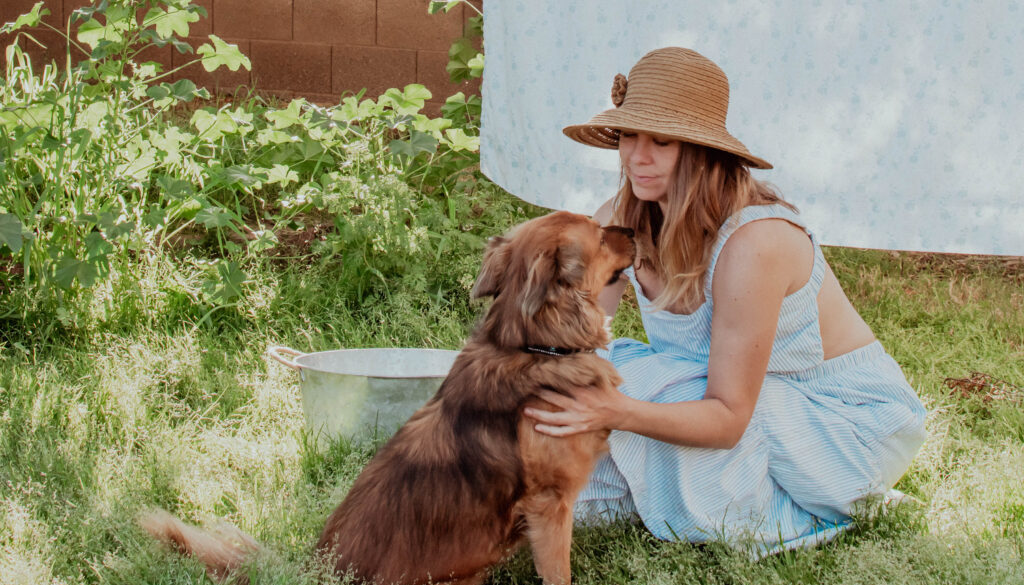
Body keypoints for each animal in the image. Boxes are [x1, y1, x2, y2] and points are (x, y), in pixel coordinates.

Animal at [140, 212, 634, 585]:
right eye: (599, 232)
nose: (632, 230)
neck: (532, 346)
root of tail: (314, 572)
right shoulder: (551, 507)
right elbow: (559, 573)